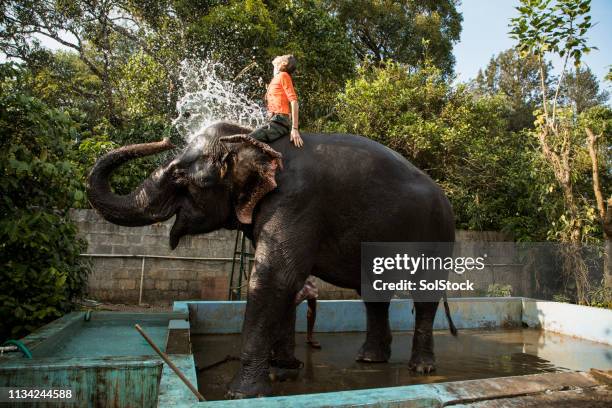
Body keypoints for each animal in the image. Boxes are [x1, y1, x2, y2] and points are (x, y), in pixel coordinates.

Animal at [88, 122, 456, 398]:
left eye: (183, 179)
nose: (164, 138)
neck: (252, 139)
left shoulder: (296, 201)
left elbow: (274, 278)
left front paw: (241, 393)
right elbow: (284, 283)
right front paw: (282, 370)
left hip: (437, 233)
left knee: (424, 295)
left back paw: (421, 368)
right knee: (372, 294)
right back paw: (369, 360)